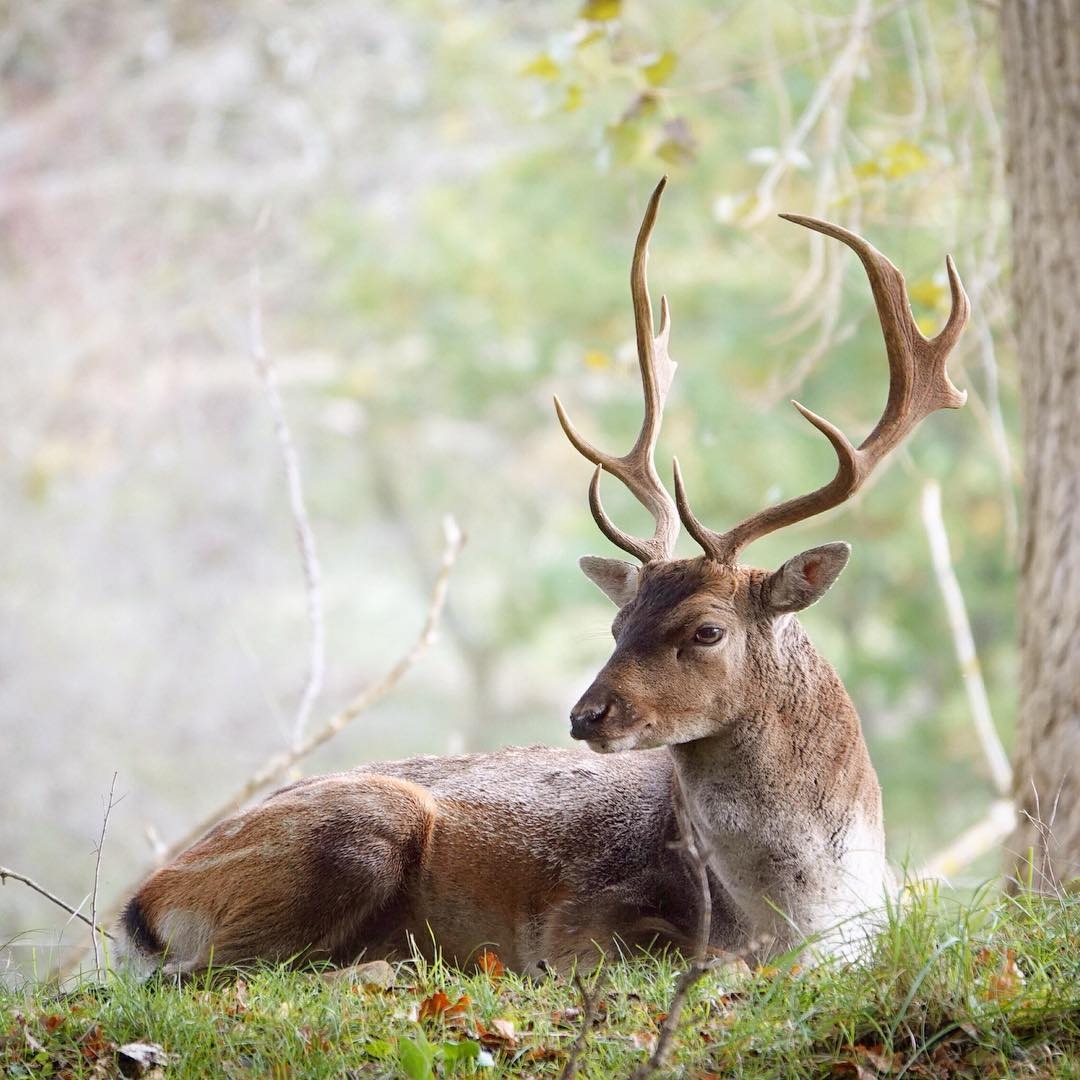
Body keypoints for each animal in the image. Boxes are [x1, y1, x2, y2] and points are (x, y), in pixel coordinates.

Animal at [120, 179, 972, 980]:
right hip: (352, 833)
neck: (802, 917)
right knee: (211, 974)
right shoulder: (584, 923)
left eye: (707, 628)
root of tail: (144, 903)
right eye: (617, 624)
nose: (587, 714)